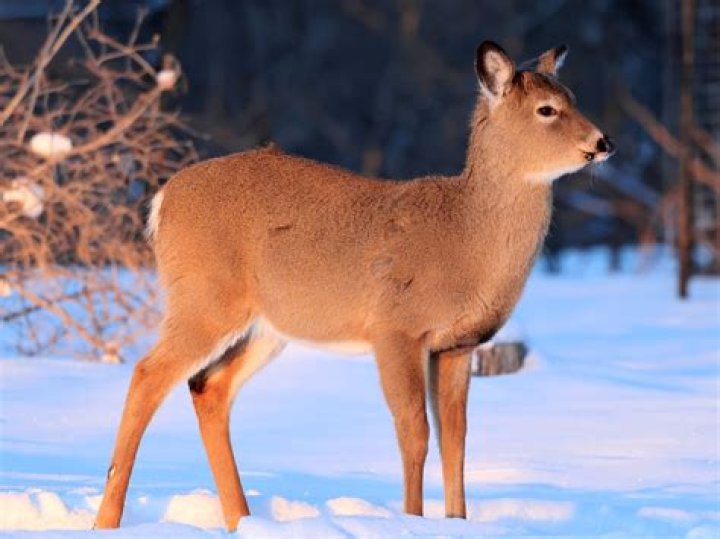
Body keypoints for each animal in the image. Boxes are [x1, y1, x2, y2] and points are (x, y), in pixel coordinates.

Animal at [94, 41, 614, 531]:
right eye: (547, 109)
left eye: (572, 96)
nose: (604, 141)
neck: (465, 238)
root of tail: (163, 198)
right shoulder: (396, 328)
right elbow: (414, 432)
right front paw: (411, 520)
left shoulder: (458, 344)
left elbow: (457, 439)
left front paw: (457, 522)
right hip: (204, 296)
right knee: (147, 374)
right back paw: (108, 520)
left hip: (266, 326)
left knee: (208, 386)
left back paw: (242, 519)